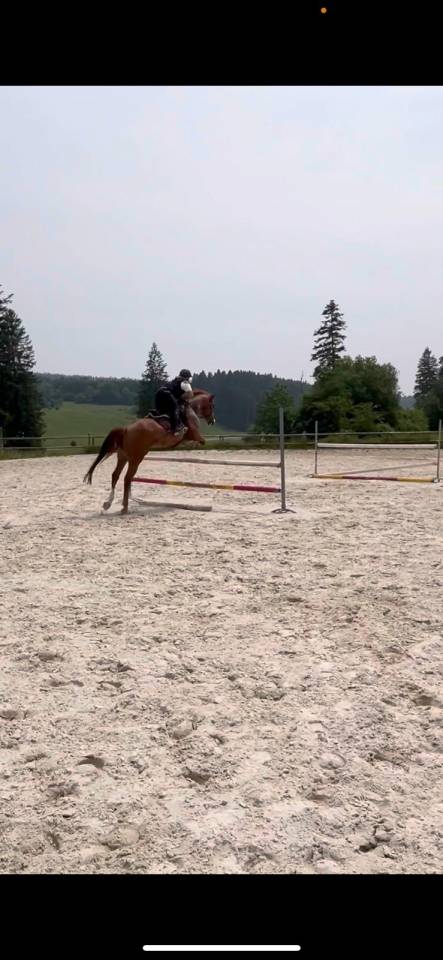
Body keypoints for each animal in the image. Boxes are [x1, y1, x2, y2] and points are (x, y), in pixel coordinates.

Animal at [83, 390, 215, 514]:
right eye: (211, 406)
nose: (212, 421)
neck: (190, 408)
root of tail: (126, 430)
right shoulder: (194, 435)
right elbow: (200, 441)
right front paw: (191, 444)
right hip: (136, 458)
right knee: (127, 478)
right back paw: (124, 507)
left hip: (123, 457)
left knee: (115, 475)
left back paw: (108, 503)